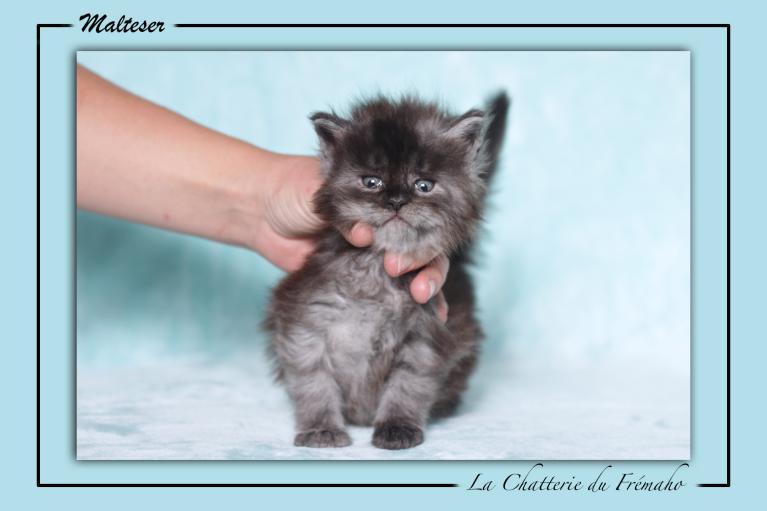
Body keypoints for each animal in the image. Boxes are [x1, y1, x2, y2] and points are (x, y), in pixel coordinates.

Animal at [265, 92, 509, 449]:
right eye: (372, 182)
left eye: (423, 185)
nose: (395, 200)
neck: (377, 272)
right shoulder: (304, 323)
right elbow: (314, 383)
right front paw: (321, 429)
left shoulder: (426, 334)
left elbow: (408, 387)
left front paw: (397, 427)